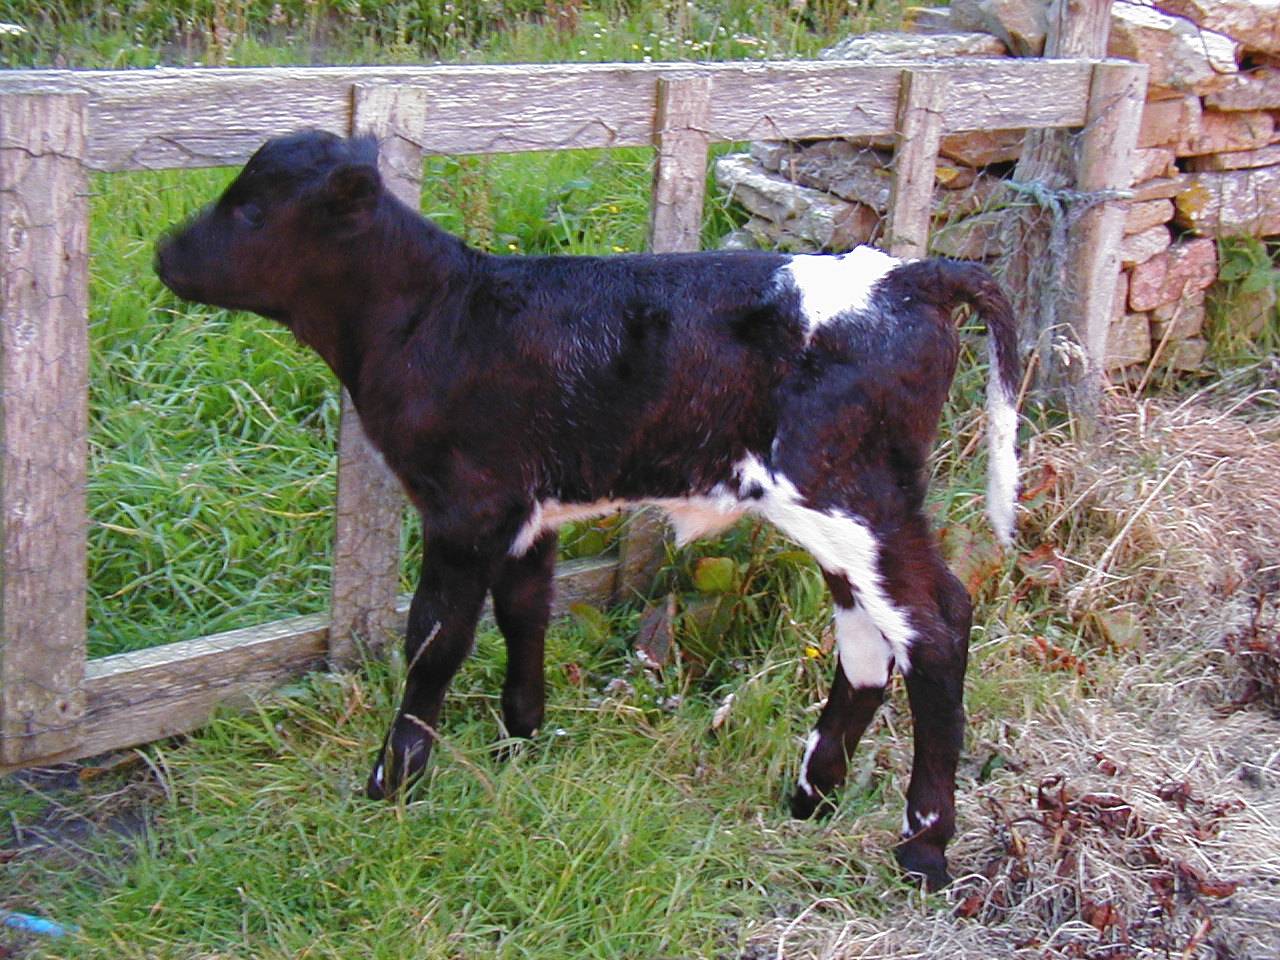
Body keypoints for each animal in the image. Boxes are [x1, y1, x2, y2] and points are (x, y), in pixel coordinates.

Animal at [155, 130, 1020, 889]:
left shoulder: (464, 508)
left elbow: (435, 639)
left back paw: (923, 848)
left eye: (252, 211)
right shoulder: (525, 513)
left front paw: (391, 785)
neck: (441, 315)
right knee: (870, 640)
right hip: (852, 512)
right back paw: (810, 796)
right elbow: (523, 614)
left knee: (936, 625)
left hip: (848, 497)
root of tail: (908, 277)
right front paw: (520, 745)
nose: (164, 253)